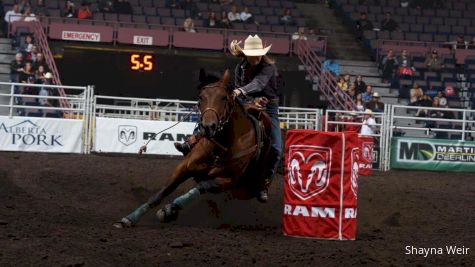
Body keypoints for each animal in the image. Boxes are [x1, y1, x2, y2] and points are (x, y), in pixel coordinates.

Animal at [113, 69, 274, 228]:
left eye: (224, 98)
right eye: (201, 97)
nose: (208, 127)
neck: (221, 147)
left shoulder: (228, 180)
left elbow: (201, 187)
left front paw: (169, 210)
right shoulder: (184, 167)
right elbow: (161, 192)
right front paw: (129, 218)